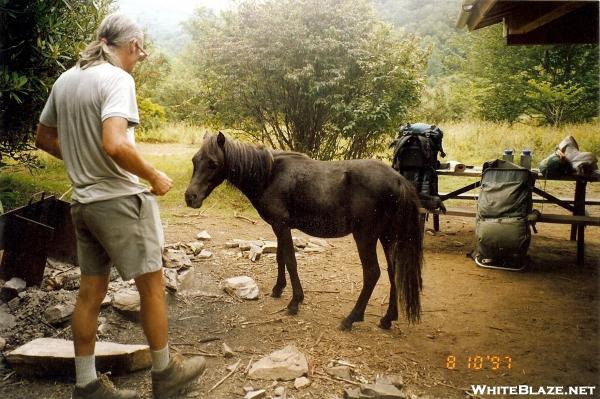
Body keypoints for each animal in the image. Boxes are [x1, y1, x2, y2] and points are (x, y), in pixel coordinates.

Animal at [185, 134, 424, 332]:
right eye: (195, 161)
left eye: (213, 163)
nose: (190, 197)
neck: (269, 175)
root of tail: (399, 180)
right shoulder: (279, 227)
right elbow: (280, 257)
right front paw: (278, 289)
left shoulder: (281, 226)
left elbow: (291, 261)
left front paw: (294, 302)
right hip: (386, 237)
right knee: (393, 272)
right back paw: (387, 318)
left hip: (366, 237)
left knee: (372, 273)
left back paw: (351, 319)